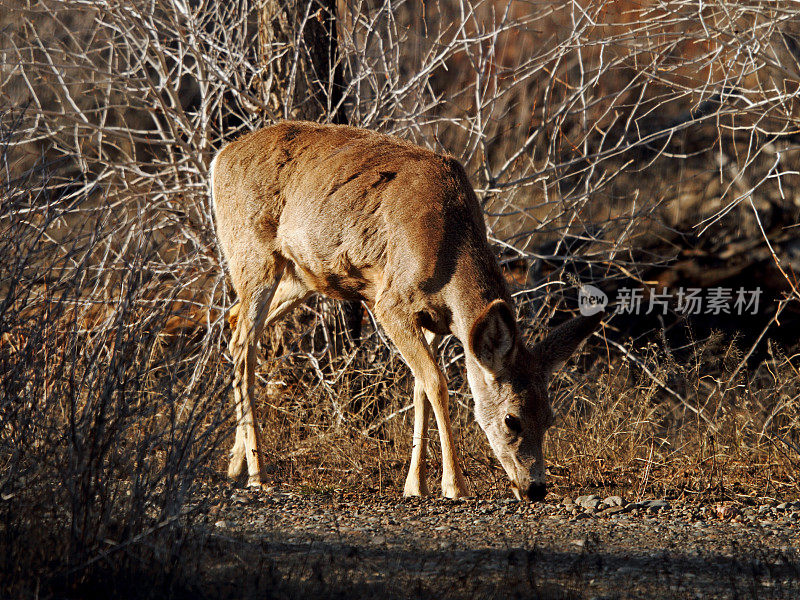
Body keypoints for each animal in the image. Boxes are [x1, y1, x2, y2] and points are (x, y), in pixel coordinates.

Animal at [209, 119, 604, 500]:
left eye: (550, 418)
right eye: (512, 419)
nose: (535, 488)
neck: (450, 251)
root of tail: (219, 159)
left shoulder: (431, 320)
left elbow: (419, 388)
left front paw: (416, 485)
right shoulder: (391, 303)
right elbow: (436, 382)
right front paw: (454, 485)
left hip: (300, 277)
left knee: (233, 321)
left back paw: (234, 464)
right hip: (253, 255)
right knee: (244, 342)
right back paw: (258, 474)